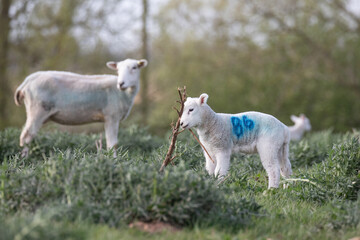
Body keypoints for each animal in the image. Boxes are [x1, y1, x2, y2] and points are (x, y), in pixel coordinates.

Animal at [14, 58, 148, 156]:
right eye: (118, 70)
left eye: (134, 67)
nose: (121, 83)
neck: (123, 93)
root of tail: (27, 81)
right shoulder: (112, 116)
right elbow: (112, 144)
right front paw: (113, 161)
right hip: (37, 110)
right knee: (26, 137)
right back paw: (25, 160)